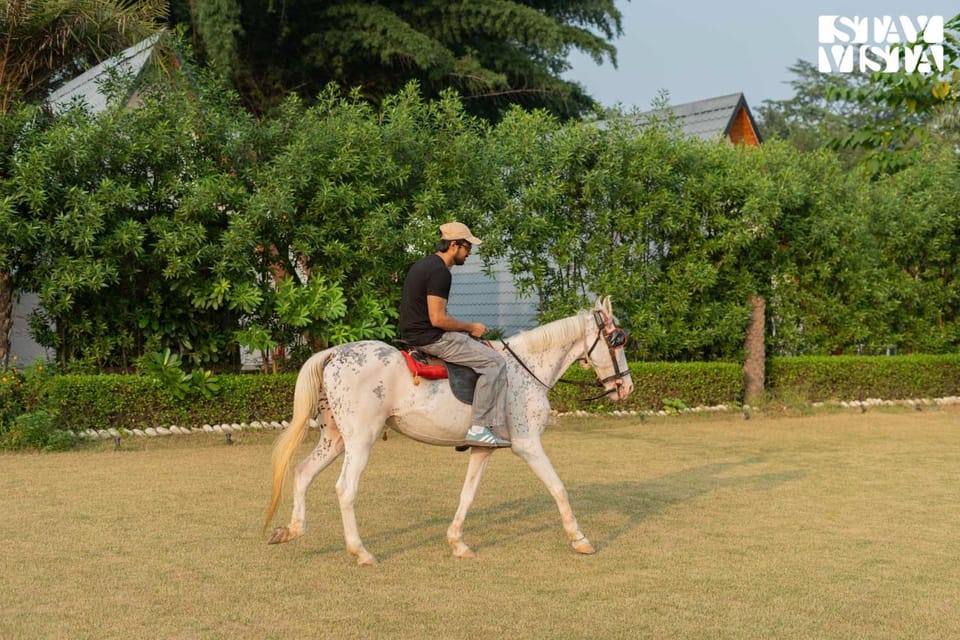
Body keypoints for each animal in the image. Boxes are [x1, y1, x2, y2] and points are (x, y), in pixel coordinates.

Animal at [265, 296, 634, 566]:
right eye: (617, 341)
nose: (626, 387)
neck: (526, 368)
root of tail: (333, 353)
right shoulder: (528, 444)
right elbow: (558, 488)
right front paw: (579, 539)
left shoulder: (483, 448)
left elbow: (467, 495)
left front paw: (457, 542)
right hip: (360, 440)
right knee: (345, 489)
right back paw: (361, 551)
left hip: (335, 439)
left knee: (302, 472)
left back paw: (291, 529)